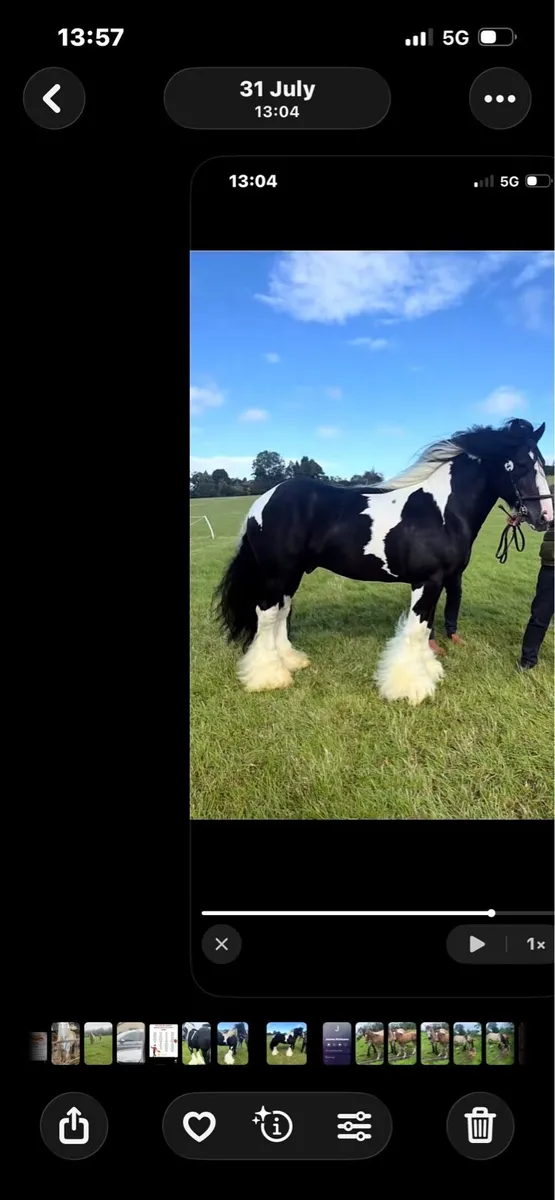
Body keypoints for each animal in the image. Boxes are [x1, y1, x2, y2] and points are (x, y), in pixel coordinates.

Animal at [215, 420, 551, 705]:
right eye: (519, 464)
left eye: (541, 462)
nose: (545, 517)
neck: (441, 511)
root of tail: (263, 501)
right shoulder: (427, 580)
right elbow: (416, 630)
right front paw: (410, 688)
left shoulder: (438, 582)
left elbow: (425, 628)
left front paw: (428, 672)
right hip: (276, 573)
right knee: (267, 615)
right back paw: (268, 677)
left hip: (291, 574)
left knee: (282, 612)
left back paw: (291, 661)